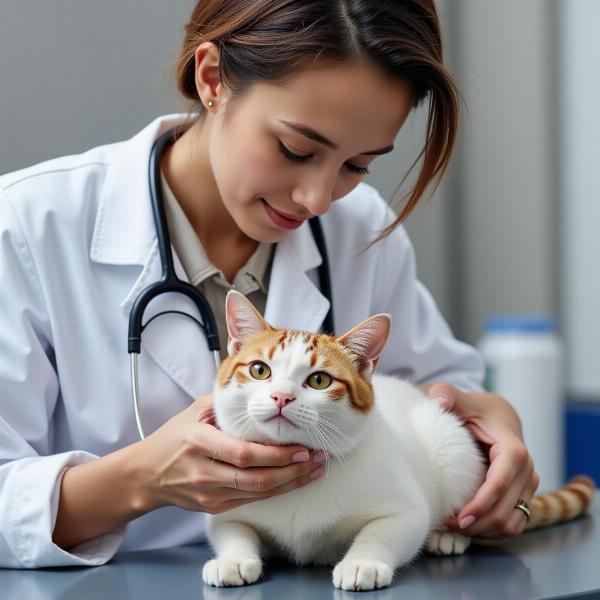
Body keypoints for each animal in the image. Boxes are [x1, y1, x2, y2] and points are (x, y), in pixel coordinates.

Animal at [203, 290, 596, 592]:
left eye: (318, 380)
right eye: (259, 370)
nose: (282, 397)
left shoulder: (407, 510)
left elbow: (384, 531)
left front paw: (362, 562)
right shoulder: (226, 506)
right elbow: (231, 529)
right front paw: (232, 558)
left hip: (451, 446)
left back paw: (449, 535)